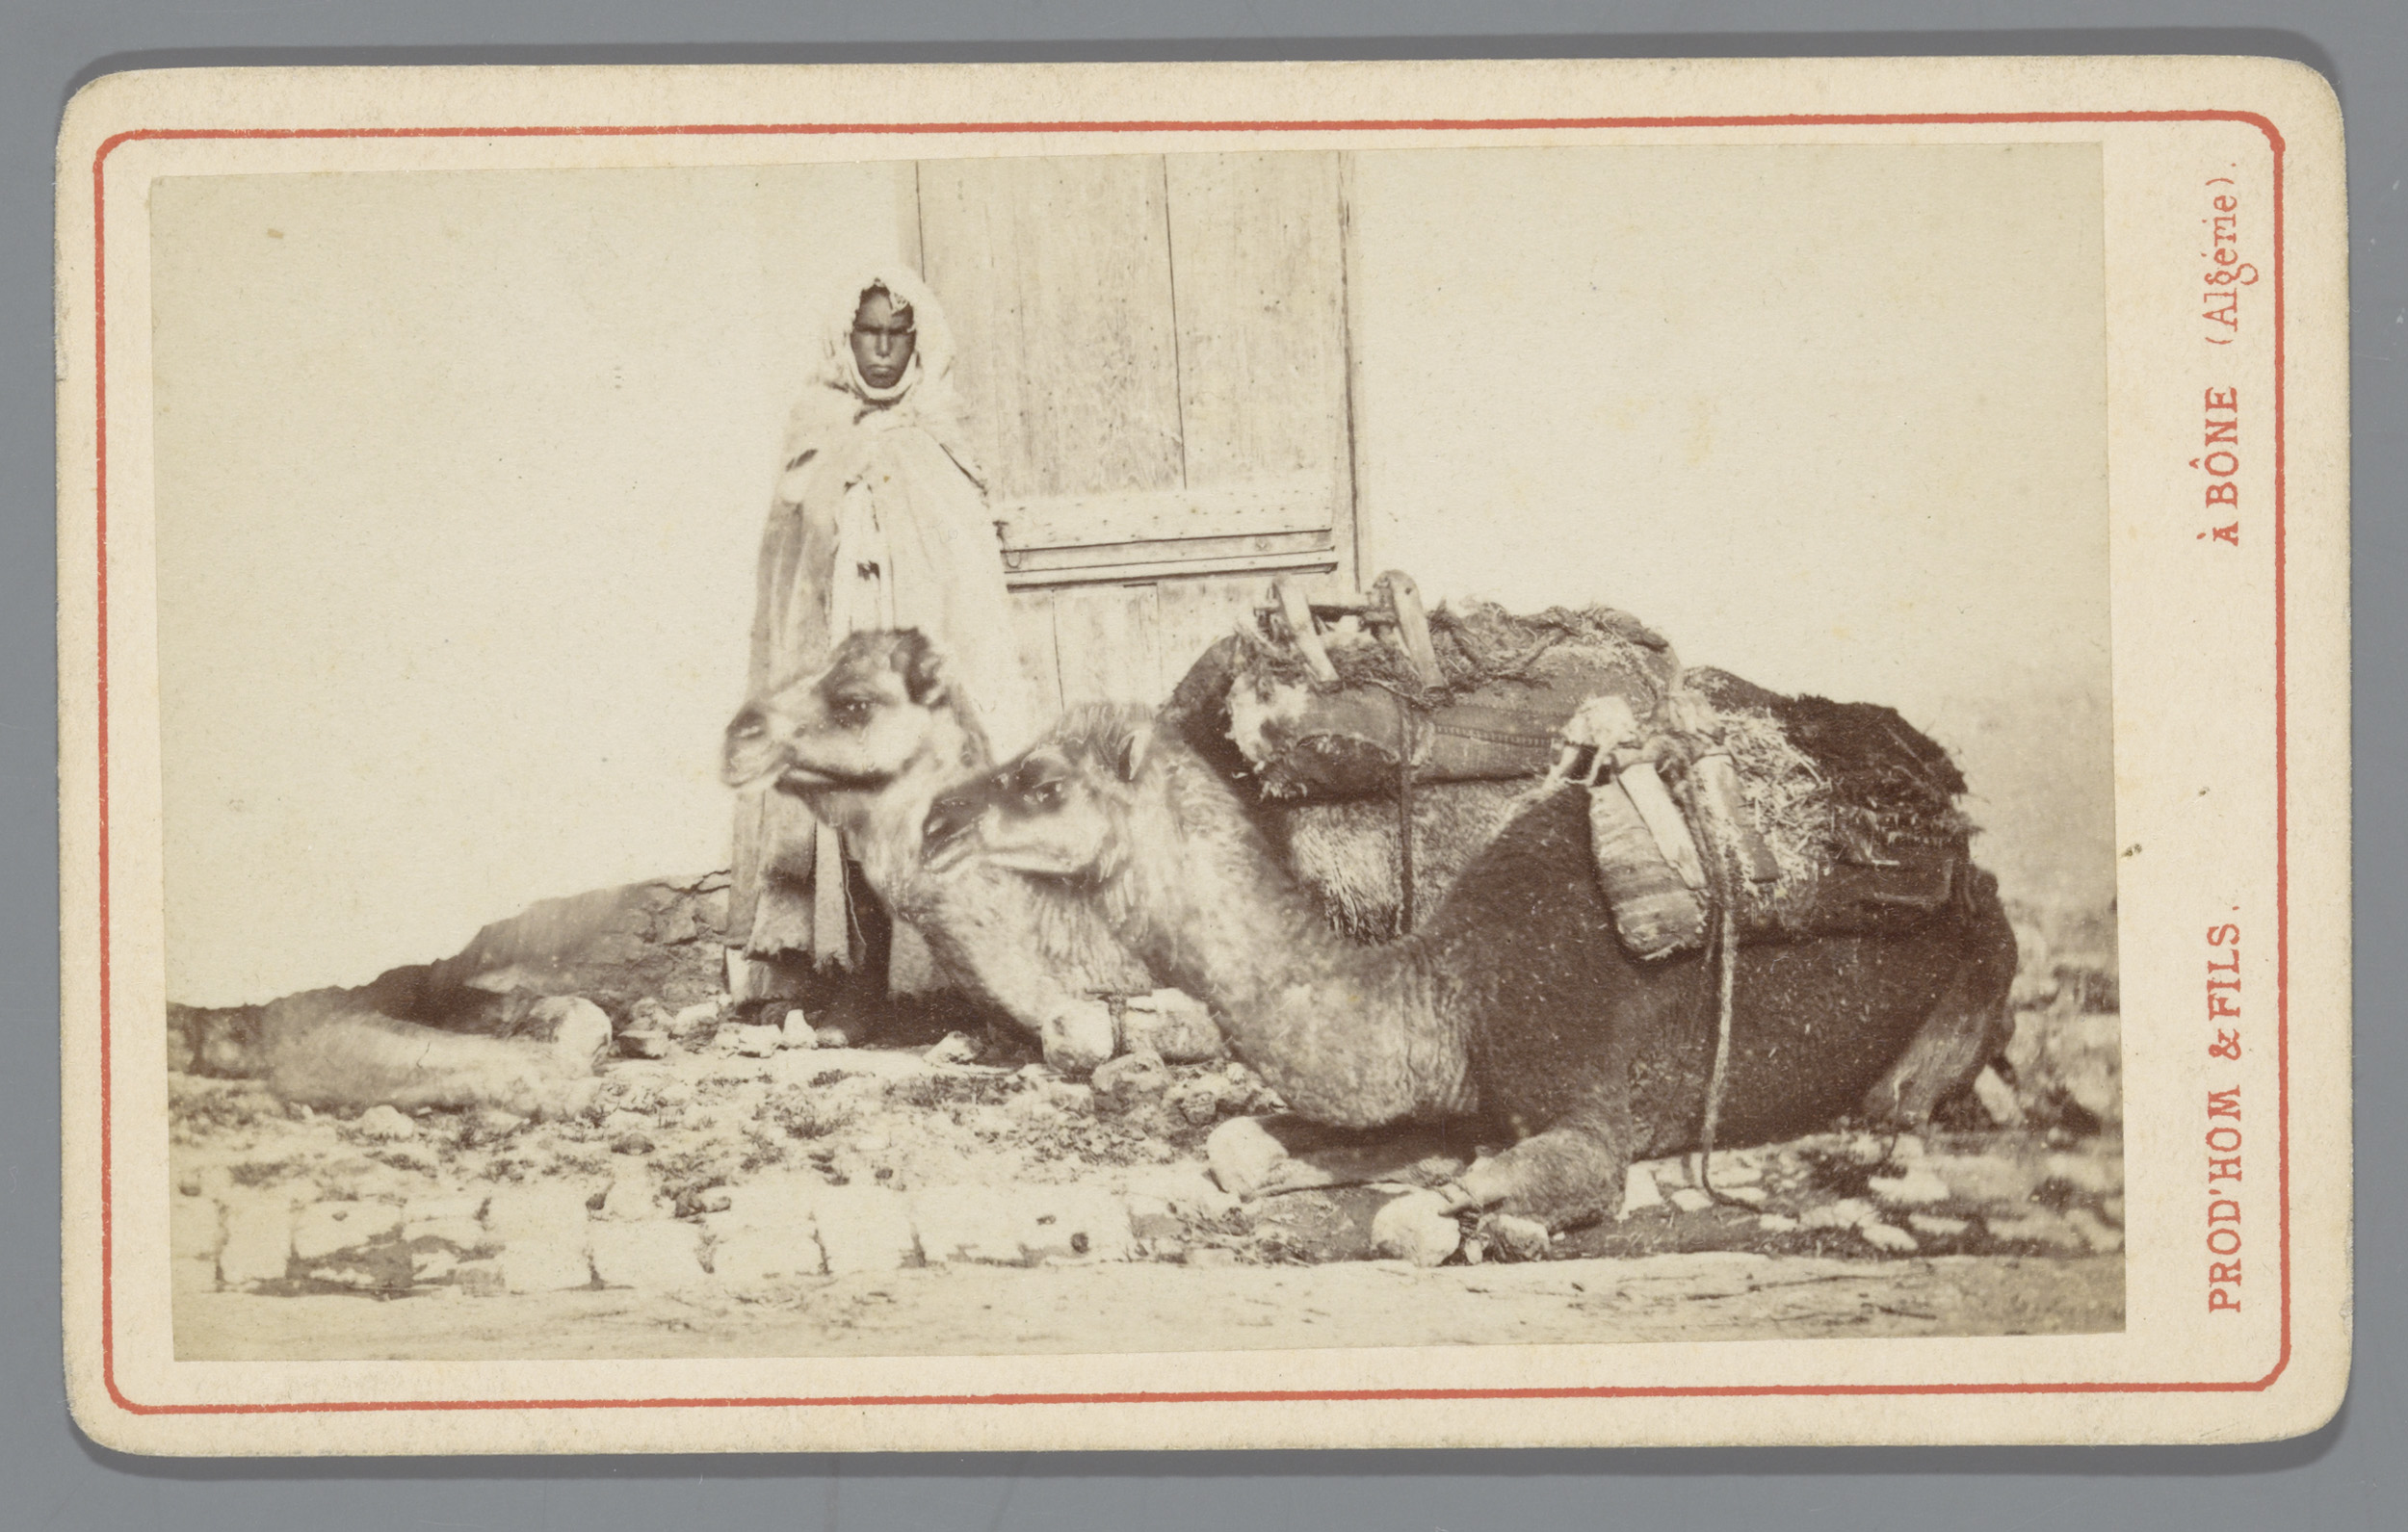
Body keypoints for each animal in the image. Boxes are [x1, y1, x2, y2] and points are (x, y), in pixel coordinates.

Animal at [928, 704, 2020, 1231]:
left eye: (1041, 782)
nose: (935, 817)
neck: (1448, 988)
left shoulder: (1582, 1092)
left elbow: (1468, 1192)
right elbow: (1246, 1145)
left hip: (1976, 977)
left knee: (1898, 1103)